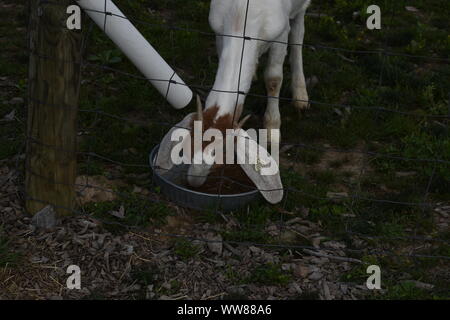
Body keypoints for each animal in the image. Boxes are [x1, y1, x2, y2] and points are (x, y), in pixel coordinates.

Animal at [156, 0, 312, 204]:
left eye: (223, 152)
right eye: (190, 145)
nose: (194, 181)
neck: (242, 17)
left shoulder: (280, 33)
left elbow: (273, 78)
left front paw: (272, 128)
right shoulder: (220, 31)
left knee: (299, 33)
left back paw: (300, 95)